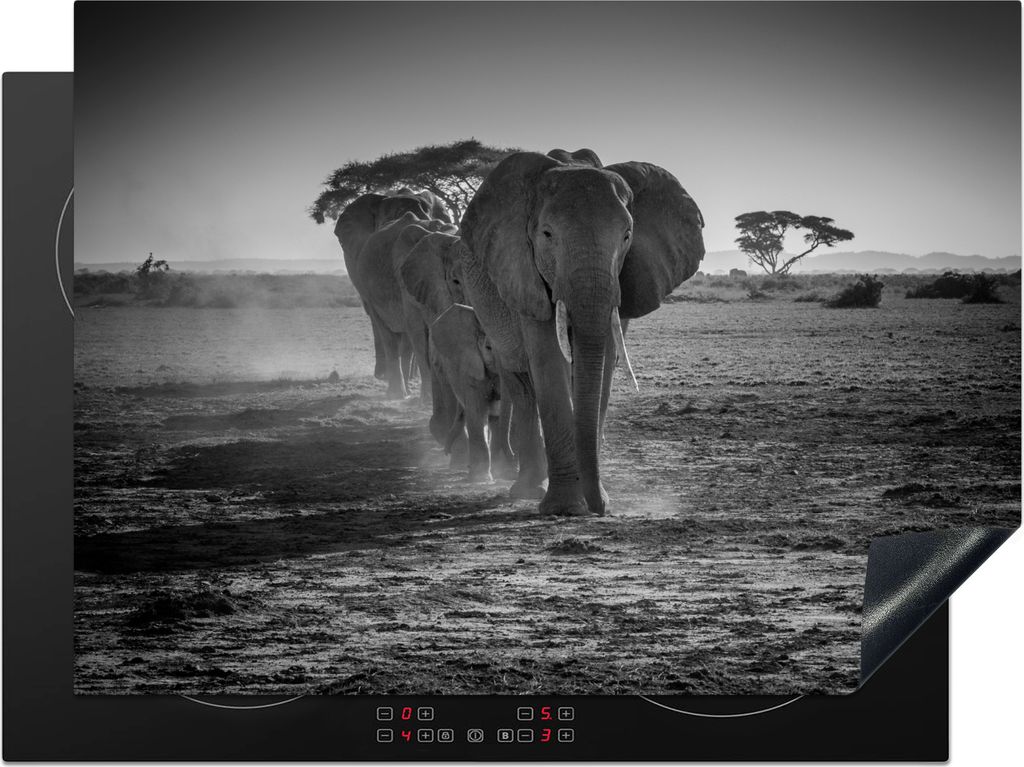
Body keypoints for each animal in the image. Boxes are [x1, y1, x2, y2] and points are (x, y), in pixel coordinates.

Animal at [455, 148, 705, 516]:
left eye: (627, 235)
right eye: (547, 235)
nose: (601, 508)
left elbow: (603, 362)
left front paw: (594, 499)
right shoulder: (524, 273)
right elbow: (547, 359)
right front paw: (565, 508)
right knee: (522, 384)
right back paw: (526, 490)